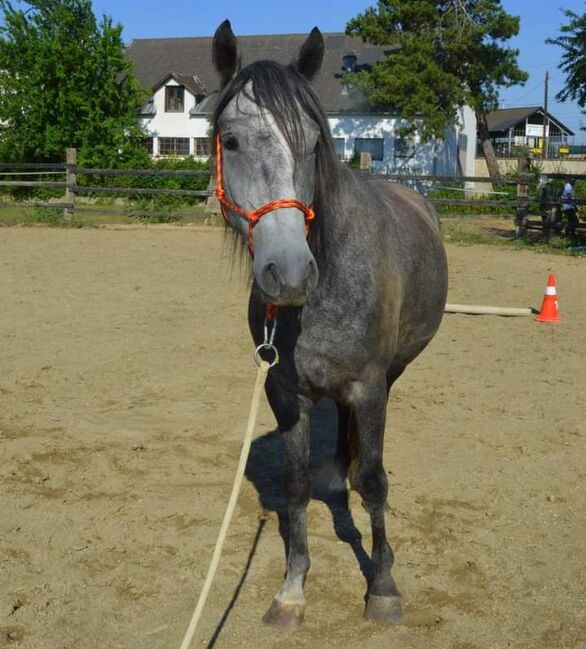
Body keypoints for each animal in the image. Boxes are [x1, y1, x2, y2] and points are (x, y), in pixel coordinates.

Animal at [212, 19, 444, 628]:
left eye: (315, 144)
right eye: (230, 141)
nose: (290, 272)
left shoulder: (370, 386)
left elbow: (376, 483)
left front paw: (382, 586)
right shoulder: (284, 391)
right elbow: (292, 488)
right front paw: (292, 588)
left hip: (391, 374)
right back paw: (335, 472)